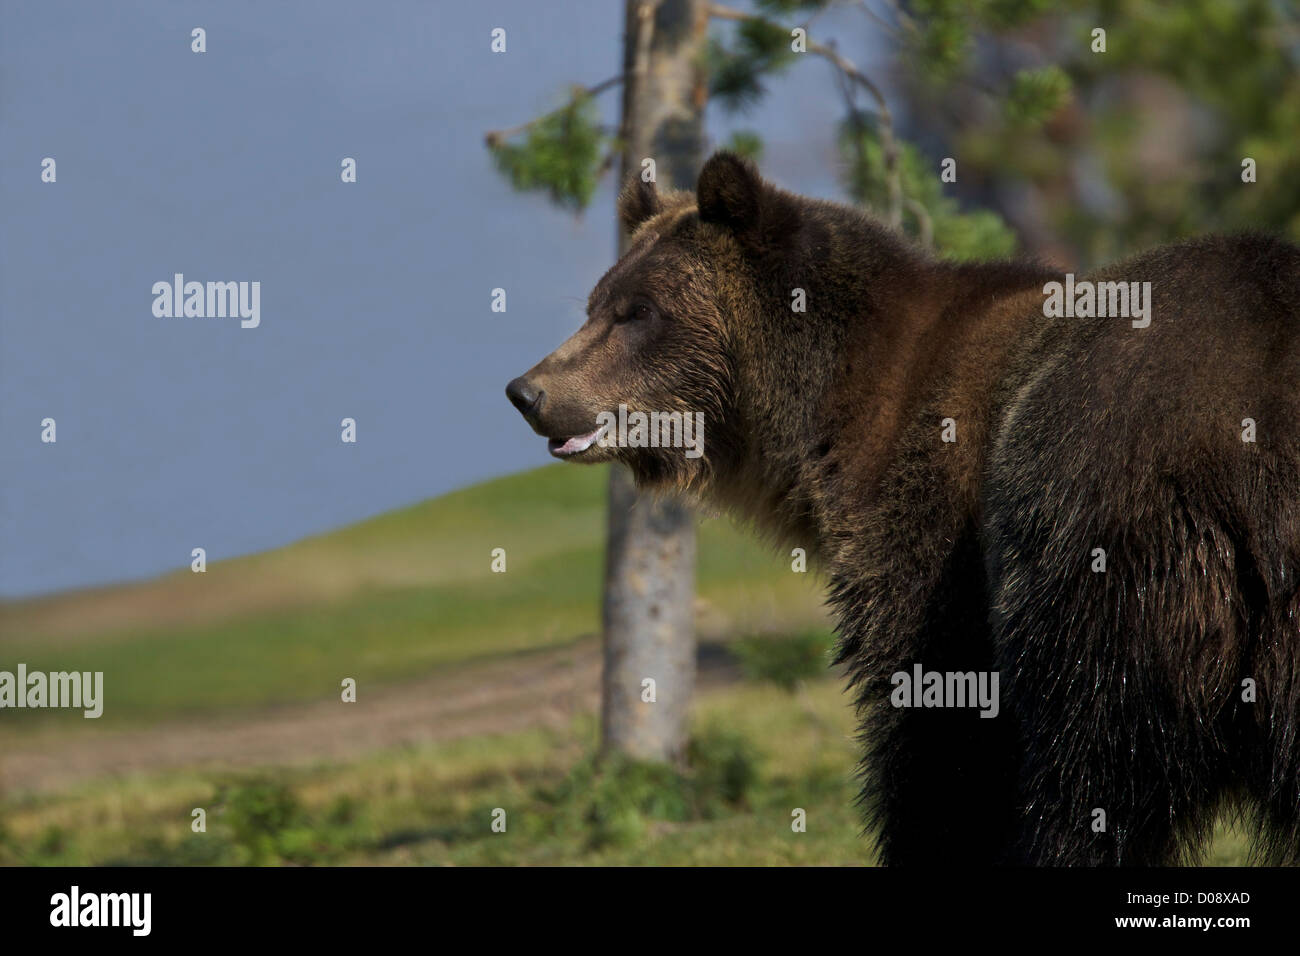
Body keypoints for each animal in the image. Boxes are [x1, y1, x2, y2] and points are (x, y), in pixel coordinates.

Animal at [505, 152, 1300, 866]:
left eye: (637, 312)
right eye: (596, 304)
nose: (528, 390)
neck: (820, 414)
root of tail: (1241, 425)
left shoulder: (936, 535)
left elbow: (937, 732)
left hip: (1097, 530)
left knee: (1090, 761)